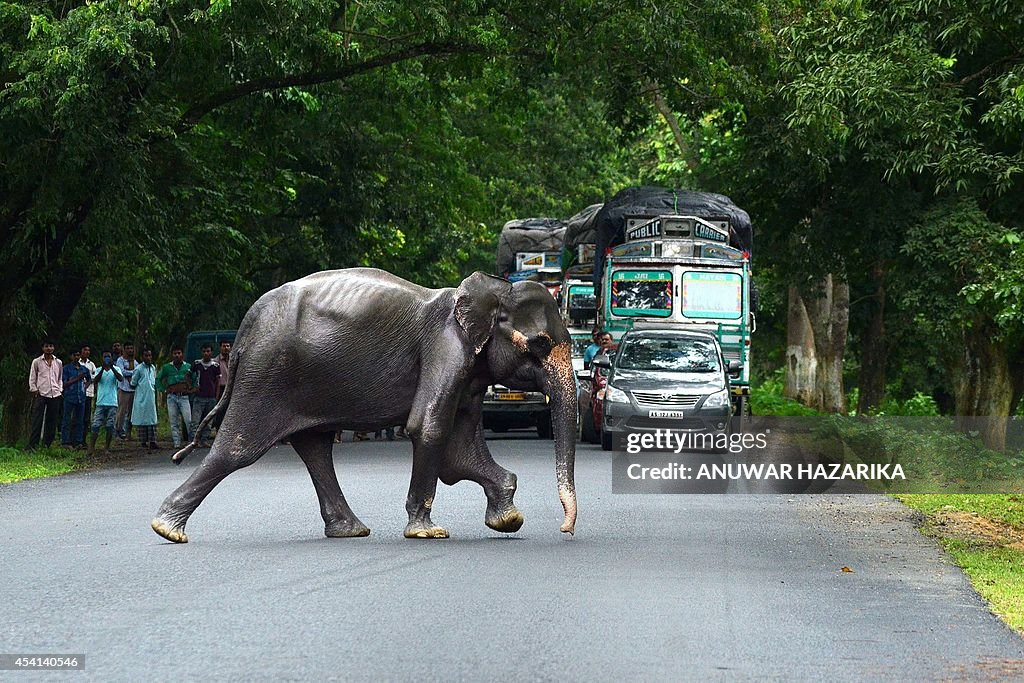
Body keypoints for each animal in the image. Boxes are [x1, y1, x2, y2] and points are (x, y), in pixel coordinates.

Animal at [150, 270, 577, 540]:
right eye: (540, 344)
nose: (565, 529)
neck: (493, 290)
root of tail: (244, 327)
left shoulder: (469, 371)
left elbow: (460, 449)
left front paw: (508, 519)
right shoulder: (445, 347)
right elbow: (428, 427)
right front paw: (427, 532)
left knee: (315, 447)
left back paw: (351, 530)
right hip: (266, 371)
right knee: (239, 448)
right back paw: (167, 529)